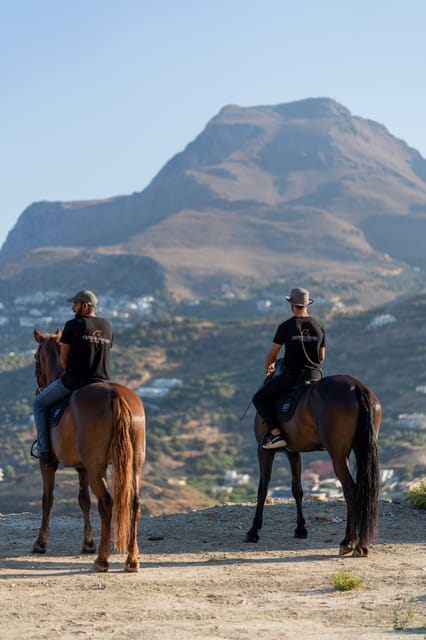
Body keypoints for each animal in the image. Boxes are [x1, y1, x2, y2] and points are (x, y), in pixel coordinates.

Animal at [32, 328, 146, 572]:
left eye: (36, 358)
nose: (38, 388)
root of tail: (115, 395)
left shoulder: (48, 464)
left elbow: (48, 499)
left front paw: (40, 543)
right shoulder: (81, 467)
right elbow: (83, 500)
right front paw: (88, 543)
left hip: (96, 467)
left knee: (106, 503)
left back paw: (103, 559)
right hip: (134, 464)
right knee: (134, 503)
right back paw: (132, 559)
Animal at [246, 374, 381, 556]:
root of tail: (357, 387)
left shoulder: (264, 450)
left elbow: (262, 489)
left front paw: (253, 531)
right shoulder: (293, 452)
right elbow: (297, 490)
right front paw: (300, 529)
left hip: (337, 454)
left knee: (350, 490)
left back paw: (348, 542)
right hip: (360, 448)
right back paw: (361, 545)